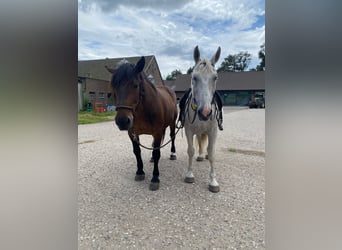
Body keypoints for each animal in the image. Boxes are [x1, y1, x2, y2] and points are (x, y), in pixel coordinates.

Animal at [105, 56, 178, 189]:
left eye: (135, 85)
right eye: (114, 87)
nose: (122, 121)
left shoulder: (157, 132)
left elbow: (157, 152)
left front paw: (155, 178)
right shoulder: (132, 133)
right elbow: (137, 151)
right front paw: (139, 172)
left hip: (172, 123)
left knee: (171, 137)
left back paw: (173, 154)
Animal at [183, 45, 220, 193]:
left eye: (215, 78)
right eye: (194, 77)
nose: (205, 112)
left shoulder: (213, 131)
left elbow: (212, 153)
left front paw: (213, 181)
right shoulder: (188, 130)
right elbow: (191, 150)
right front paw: (189, 174)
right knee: (199, 140)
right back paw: (199, 155)